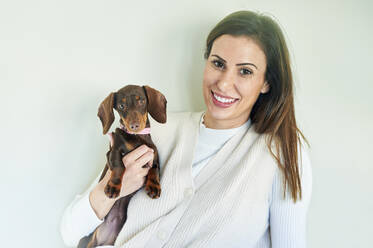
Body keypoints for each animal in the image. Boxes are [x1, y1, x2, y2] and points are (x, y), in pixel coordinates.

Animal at [77, 85, 166, 248]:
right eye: (121, 106)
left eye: (142, 101)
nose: (134, 125)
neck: (138, 138)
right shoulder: (113, 151)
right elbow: (119, 166)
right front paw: (113, 187)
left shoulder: (154, 155)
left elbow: (154, 169)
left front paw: (154, 187)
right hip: (90, 241)